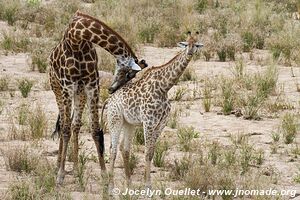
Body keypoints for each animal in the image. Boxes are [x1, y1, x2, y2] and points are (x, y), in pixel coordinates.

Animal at [105, 31, 204, 189]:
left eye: (195, 45)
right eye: (185, 44)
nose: (189, 53)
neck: (164, 88)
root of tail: (110, 100)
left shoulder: (161, 123)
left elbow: (151, 153)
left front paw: (148, 183)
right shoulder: (148, 122)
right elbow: (146, 152)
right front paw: (147, 185)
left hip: (129, 123)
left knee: (124, 148)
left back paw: (129, 183)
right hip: (115, 119)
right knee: (112, 149)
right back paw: (111, 186)